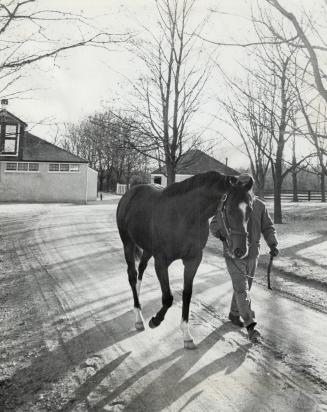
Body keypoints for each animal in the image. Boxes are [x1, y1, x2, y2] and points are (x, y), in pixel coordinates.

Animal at [116, 170, 255, 348]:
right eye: (229, 209)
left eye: (250, 209)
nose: (241, 250)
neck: (184, 216)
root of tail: (129, 194)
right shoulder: (161, 262)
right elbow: (168, 298)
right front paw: (155, 320)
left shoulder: (193, 260)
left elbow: (187, 295)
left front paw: (187, 335)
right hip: (128, 243)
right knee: (132, 275)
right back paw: (139, 316)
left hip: (147, 249)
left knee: (140, 270)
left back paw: (138, 302)